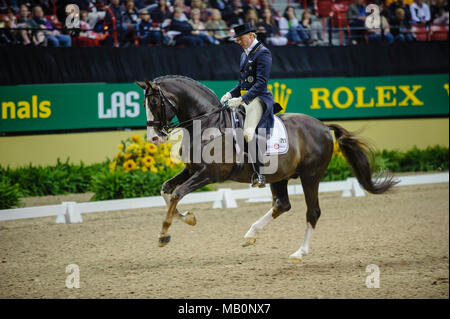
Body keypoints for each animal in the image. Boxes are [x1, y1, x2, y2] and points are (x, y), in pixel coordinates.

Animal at [134, 77, 398, 262]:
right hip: (279, 176)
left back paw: (299, 253)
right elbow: (166, 190)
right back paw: (250, 236)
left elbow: (177, 194)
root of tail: (322, 126)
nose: (154, 138)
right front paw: (188, 218)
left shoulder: (210, 174)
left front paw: (164, 235)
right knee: (282, 204)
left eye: (154, 102)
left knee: (312, 211)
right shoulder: (191, 170)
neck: (207, 124)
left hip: (310, 176)